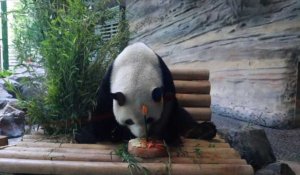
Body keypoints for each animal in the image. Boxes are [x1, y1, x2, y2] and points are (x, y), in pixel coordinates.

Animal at [75, 42, 216, 145]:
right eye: (129, 121)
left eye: (149, 119)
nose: (141, 135)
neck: (136, 67)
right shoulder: (109, 79)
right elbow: (102, 108)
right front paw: (86, 135)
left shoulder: (165, 77)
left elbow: (169, 109)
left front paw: (169, 137)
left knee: (183, 117)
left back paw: (204, 131)